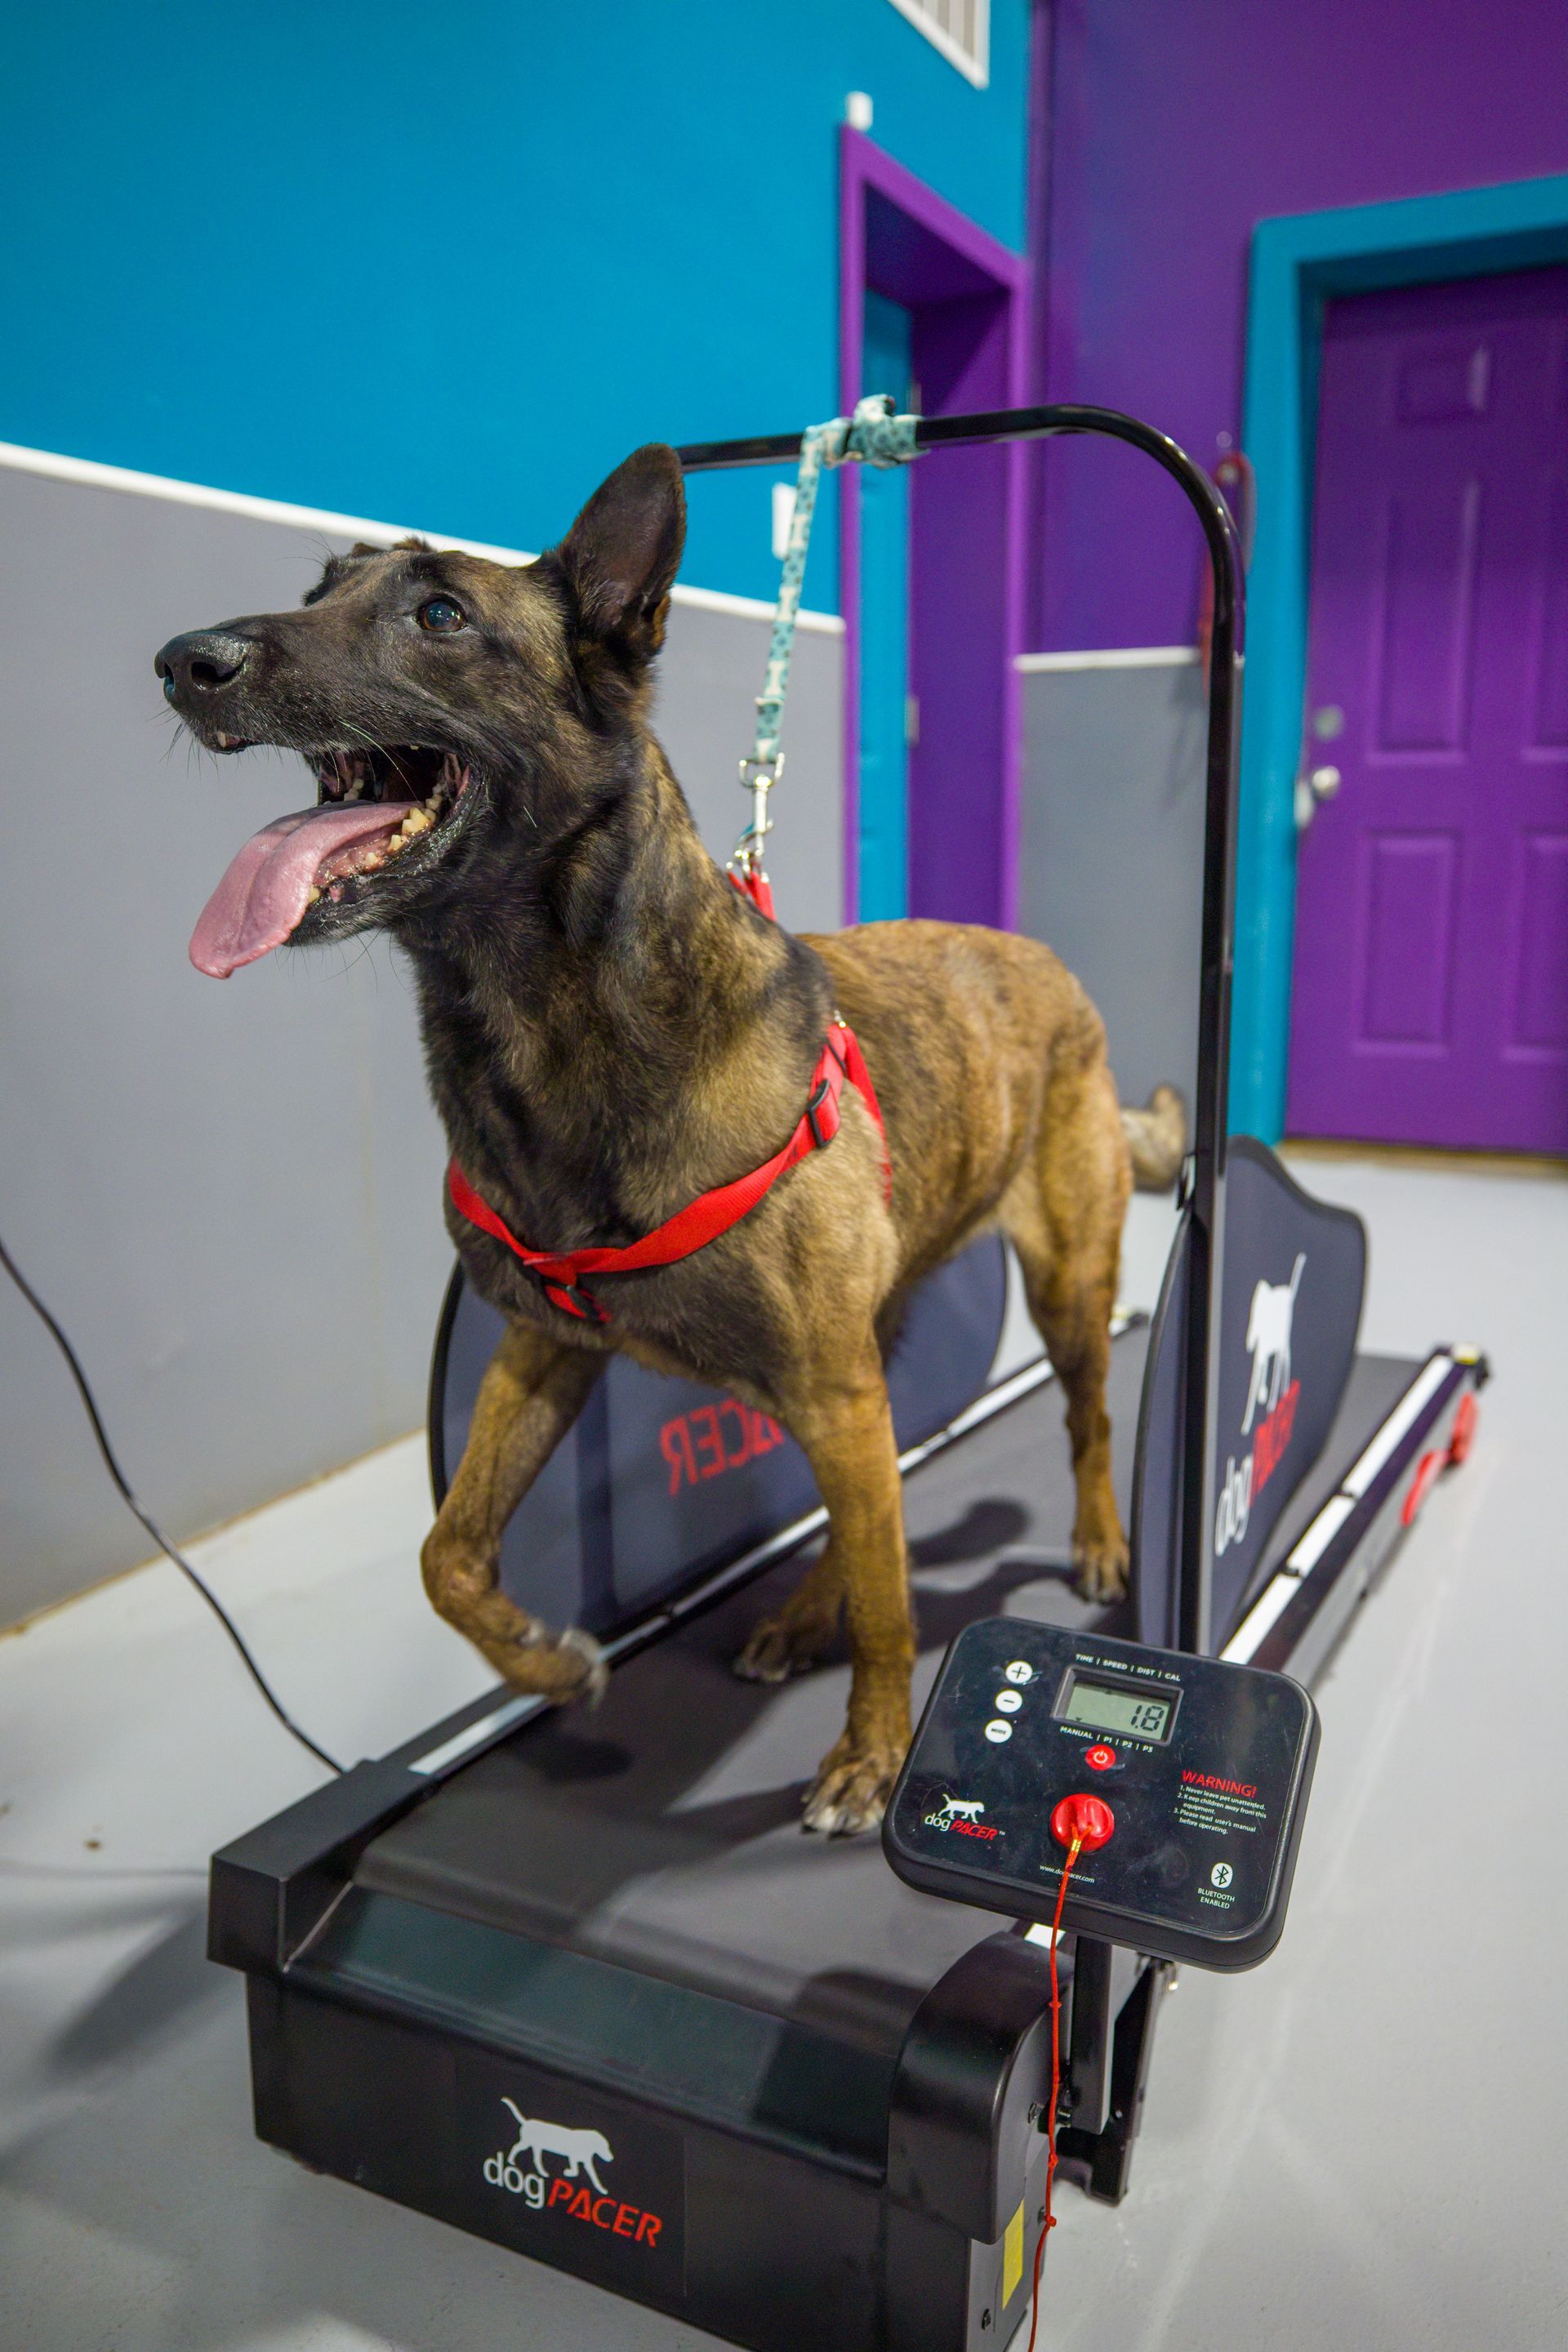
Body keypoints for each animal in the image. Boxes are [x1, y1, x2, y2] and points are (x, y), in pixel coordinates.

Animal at [159, 444, 1184, 1834]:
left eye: (441, 617)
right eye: (318, 590)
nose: (184, 660)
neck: (554, 1022)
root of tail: (1040, 956)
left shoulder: (827, 1387)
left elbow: (895, 1614)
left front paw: (872, 1757)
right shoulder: (547, 1350)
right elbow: (447, 1556)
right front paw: (546, 1663)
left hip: (1057, 1291)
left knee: (1076, 1424)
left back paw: (1095, 1542)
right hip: (862, 1356)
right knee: (868, 1513)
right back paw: (799, 1615)